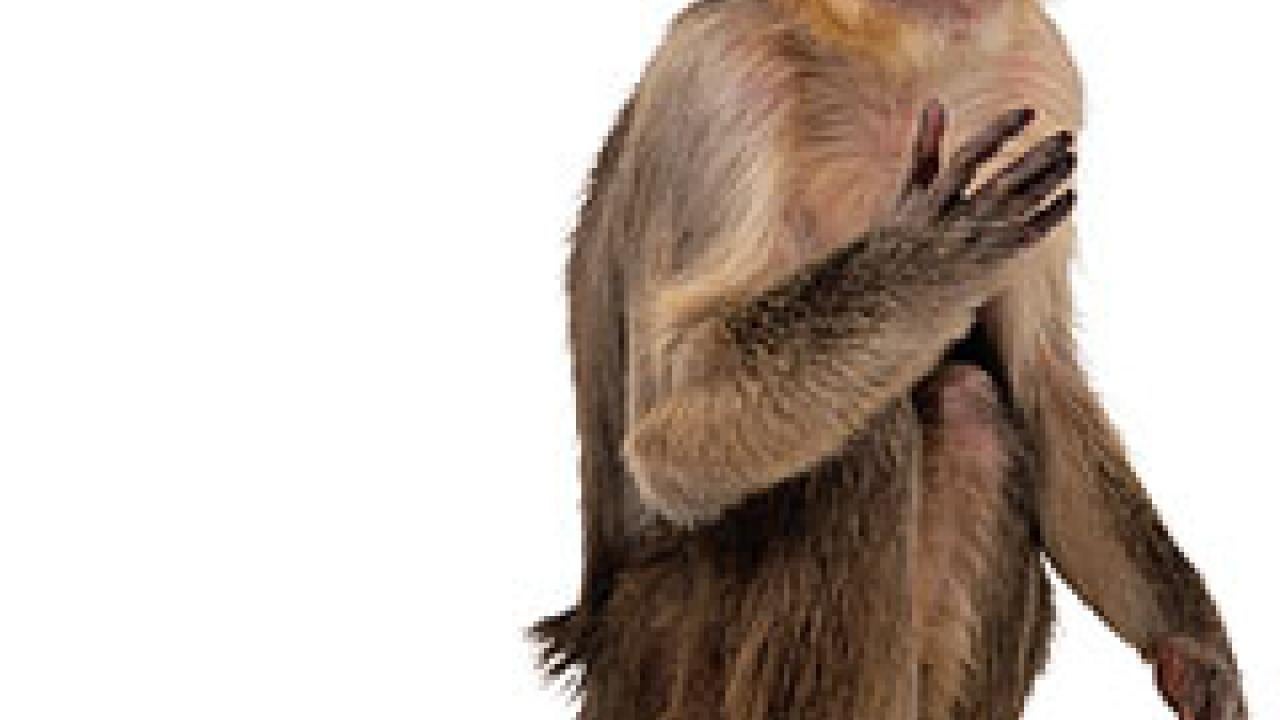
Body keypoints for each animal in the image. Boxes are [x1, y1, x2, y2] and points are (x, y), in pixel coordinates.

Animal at [532, 0, 1247, 718]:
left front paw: (1196, 651)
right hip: (660, 651)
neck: (893, 47)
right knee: (859, 440)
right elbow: (659, 432)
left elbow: (1041, 384)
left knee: (968, 414)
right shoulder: (724, 77)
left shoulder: (1036, 70)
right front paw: (920, 270)